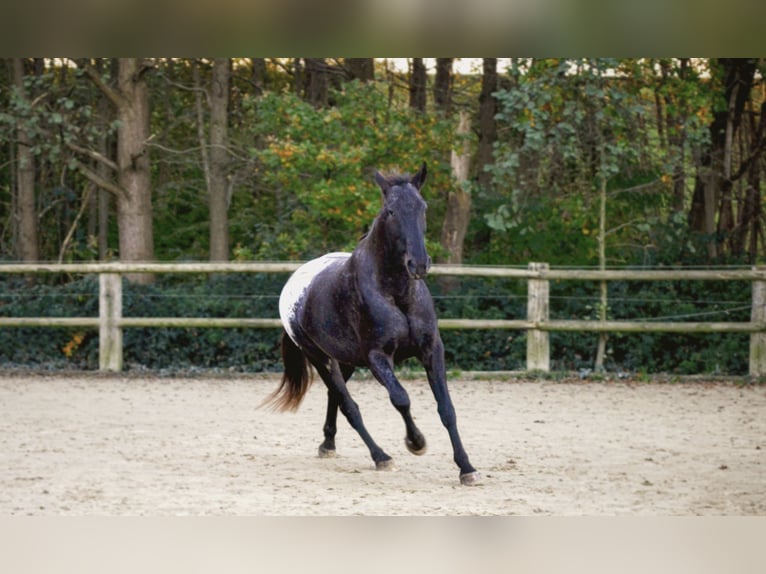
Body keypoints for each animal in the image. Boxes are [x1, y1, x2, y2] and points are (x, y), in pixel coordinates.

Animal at [264, 162, 480, 486]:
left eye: (423, 207)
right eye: (390, 211)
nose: (419, 264)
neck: (396, 293)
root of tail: (293, 284)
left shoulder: (432, 349)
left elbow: (447, 408)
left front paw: (466, 467)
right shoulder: (377, 357)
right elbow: (401, 398)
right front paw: (416, 442)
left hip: (345, 361)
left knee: (335, 397)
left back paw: (328, 444)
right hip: (318, 358)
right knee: (348, 405)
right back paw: (381, 457)